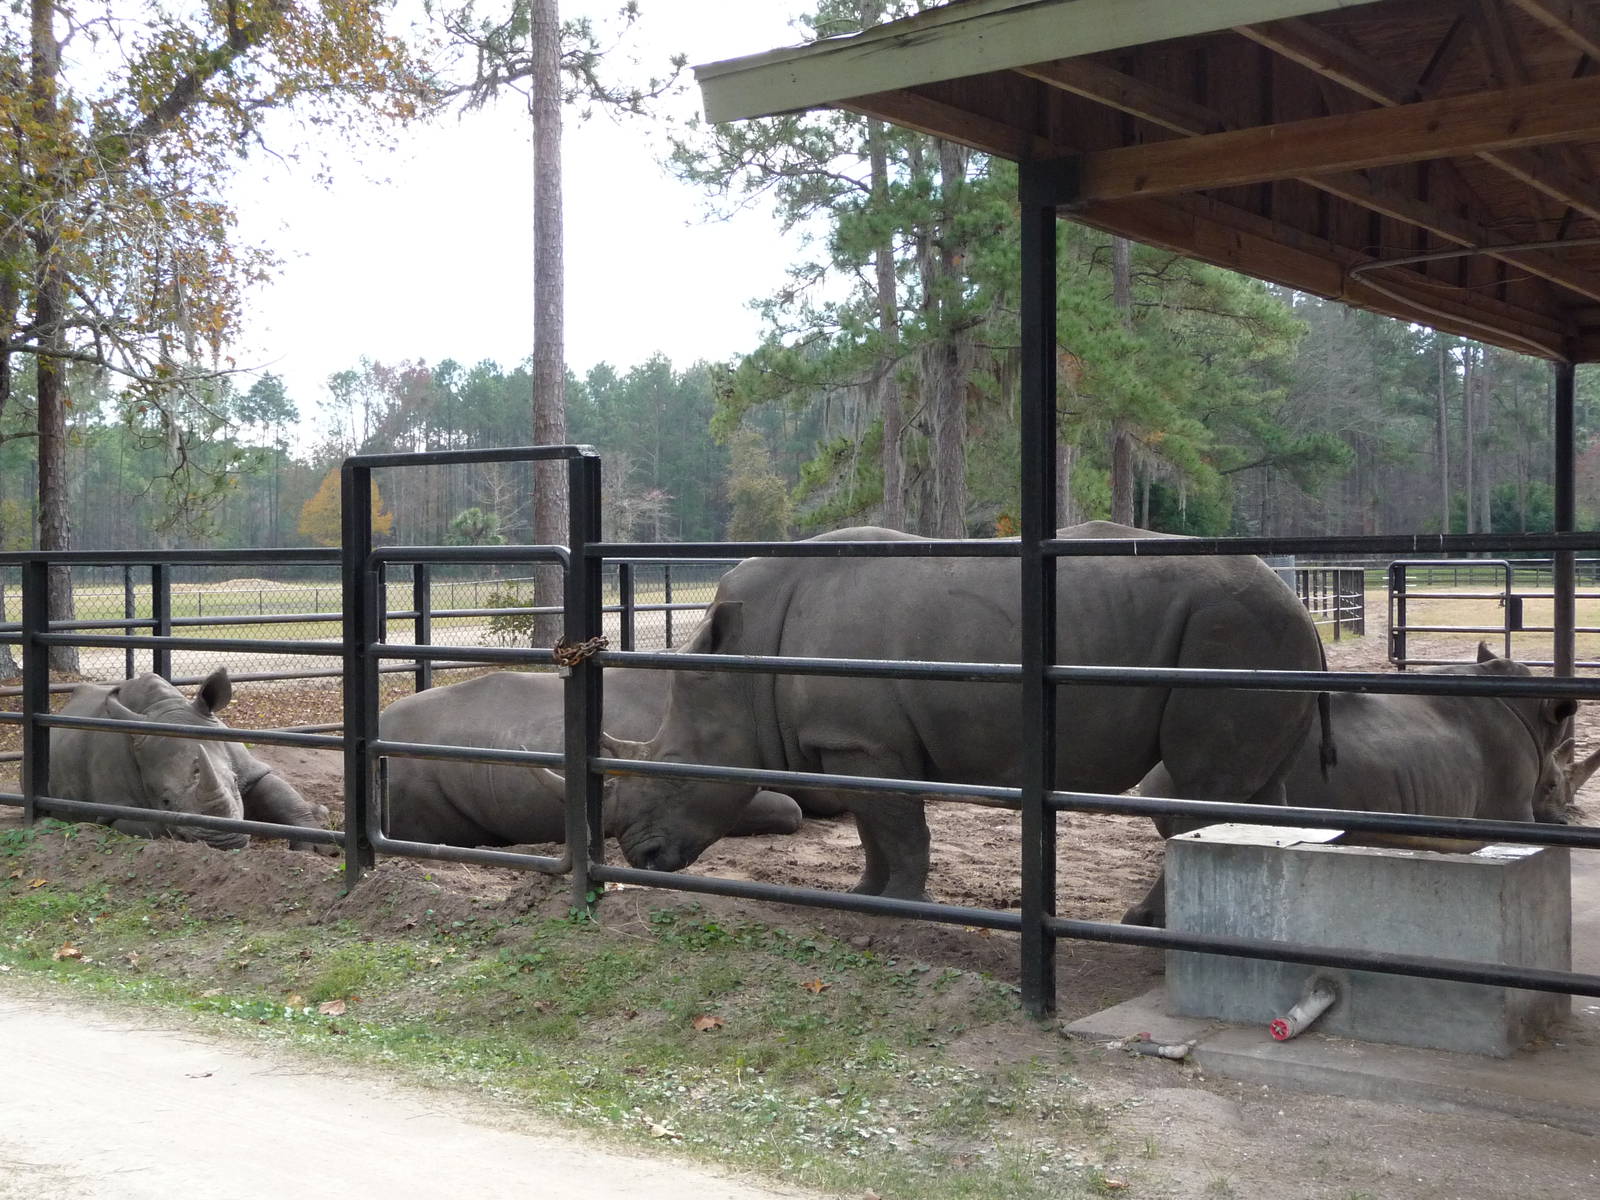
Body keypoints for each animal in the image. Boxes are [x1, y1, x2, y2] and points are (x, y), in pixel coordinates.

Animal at [50, 668, 330, 851]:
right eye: (165, 801)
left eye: (234, 782)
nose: (224, 842)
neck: (164, 708)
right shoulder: (114, 807)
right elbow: (156, 827)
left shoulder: (247, 768)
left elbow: (283, 797)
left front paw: (317, 847)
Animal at [603, 522, 1327, 922]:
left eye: (672, 769)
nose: (640, 857)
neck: (743, 669)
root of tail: (1302, 607)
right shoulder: (852, 743)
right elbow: (872, 826)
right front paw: (867, 894)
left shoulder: (862, 741)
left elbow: (901, 828)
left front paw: (904, 908)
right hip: (1258, 640)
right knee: (1250, 793)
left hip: (1232, 633)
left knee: (1203, 787)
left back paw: (1146, 923)